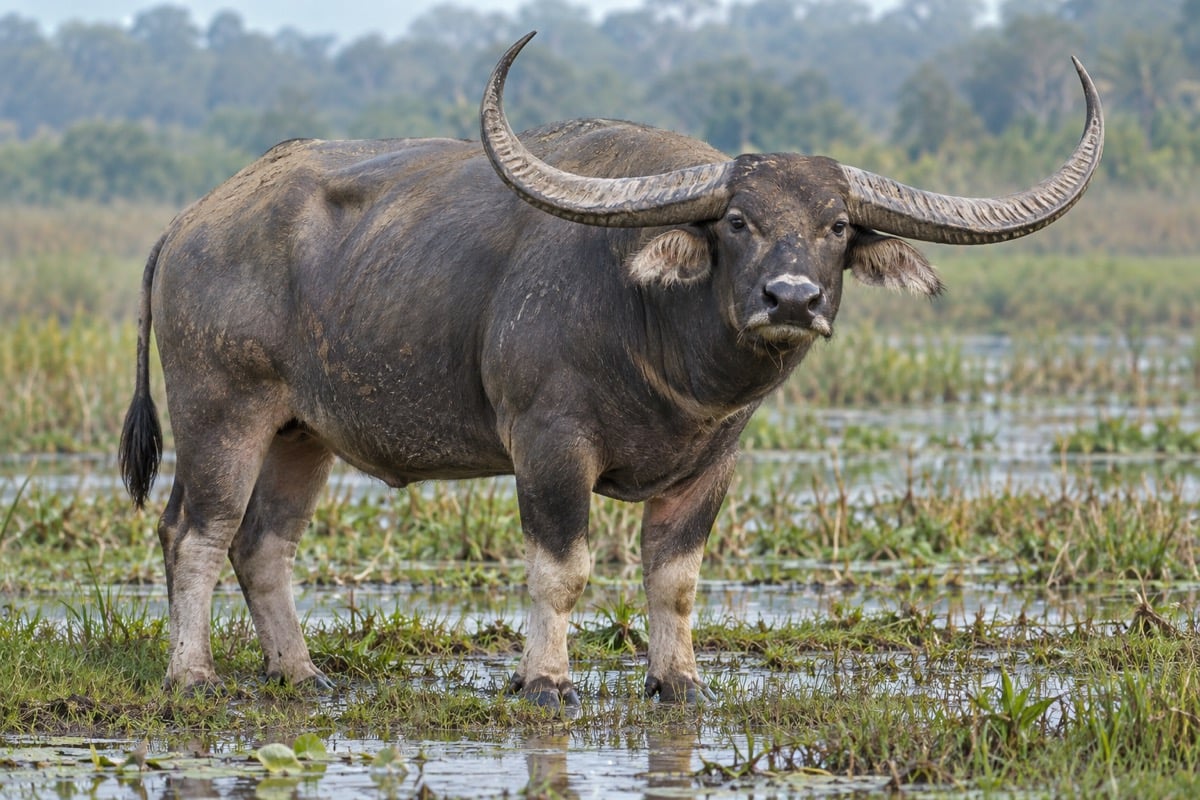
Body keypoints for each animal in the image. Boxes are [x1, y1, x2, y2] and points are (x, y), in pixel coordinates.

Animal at [120, 32, 1103, 710]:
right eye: (737, 220)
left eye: (835, 225)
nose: (790, 298)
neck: (663, 346)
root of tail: (190, 222)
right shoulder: (549, 449)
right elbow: (563, 569)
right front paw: (545, 681)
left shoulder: (713, 467)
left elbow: (674, 579)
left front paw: (680, 682)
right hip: (222, 409)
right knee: (195, 533)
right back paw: (193, 674)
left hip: (302, 432)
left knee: (264, 543)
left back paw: (302, 673)